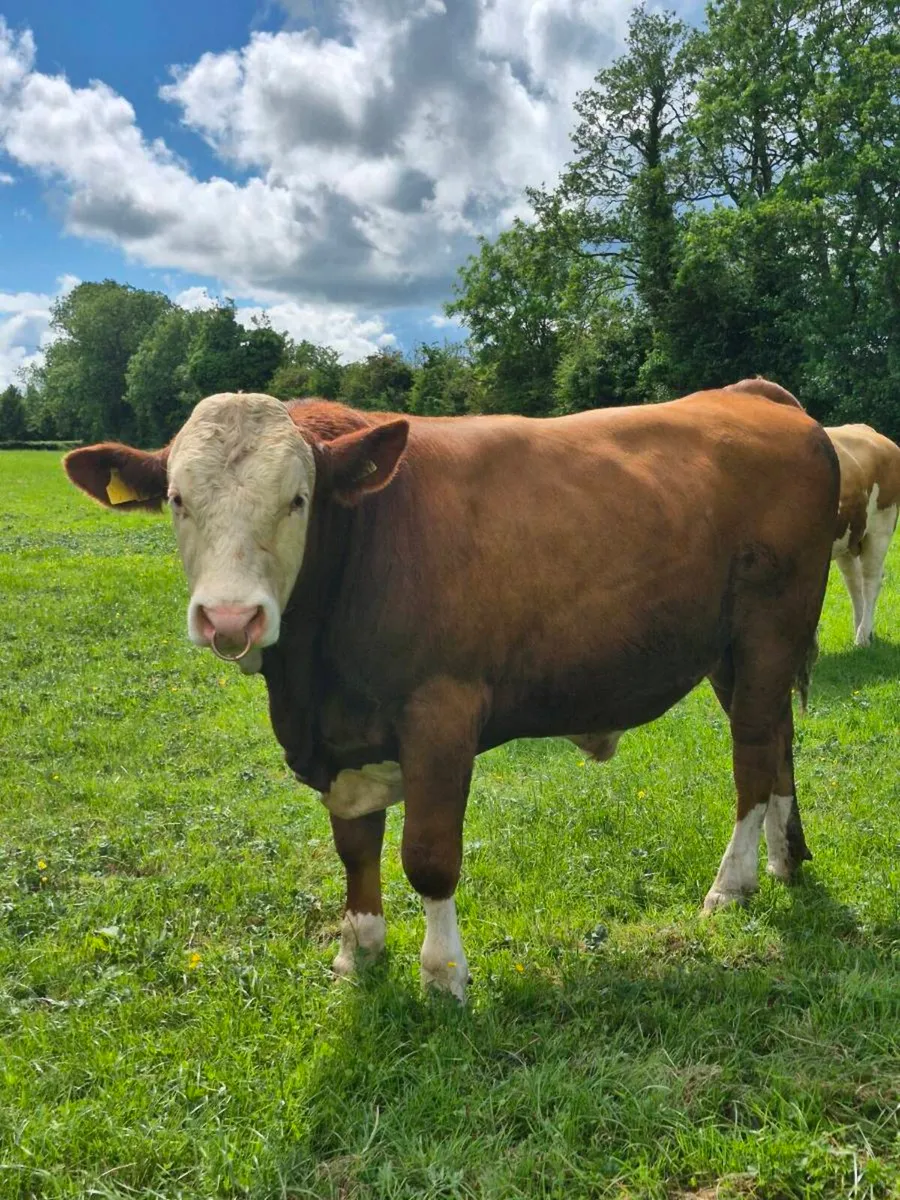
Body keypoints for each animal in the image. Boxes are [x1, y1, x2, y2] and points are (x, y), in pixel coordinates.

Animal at [63, 389, 839, 1002]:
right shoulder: (345, 742)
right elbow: (355, 847)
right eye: (177, 499)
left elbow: (428, 855)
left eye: (297, 500)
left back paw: (733, 884)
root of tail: (756, 395)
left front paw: (442, 974)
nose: (230, 618)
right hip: (732, 650)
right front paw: (359, 949)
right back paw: (784, 859)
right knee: (777, 740)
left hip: (769, 626)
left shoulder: (441, 714)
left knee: (752, 754)